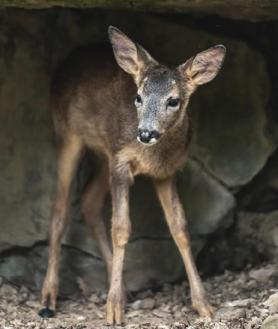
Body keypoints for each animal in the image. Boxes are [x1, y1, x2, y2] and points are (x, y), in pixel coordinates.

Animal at [39, 25, 226, 322]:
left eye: (174, 100)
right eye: (138, 97)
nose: (145, 133)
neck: (153, 156)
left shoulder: (166, 171)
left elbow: (180, 228)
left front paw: (203, 304)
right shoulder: (121, 161)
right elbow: (121, 228)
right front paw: (113, 309)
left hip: (103, 153)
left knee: (89, 202)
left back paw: (123, 289)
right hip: (68, 134)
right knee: (59, 209)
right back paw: (48, 299)